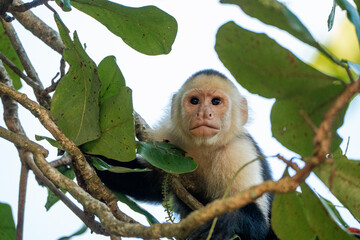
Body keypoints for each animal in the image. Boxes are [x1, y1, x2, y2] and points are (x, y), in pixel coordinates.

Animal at [95, 69, 276, 240]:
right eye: (194, 101)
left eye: (216, 102)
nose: (204, 113)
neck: (203, 147)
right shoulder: (166, 139)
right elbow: (148, 182)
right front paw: (91, 155)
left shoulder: (239, 151)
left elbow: (260, 224)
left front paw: (225, 220)